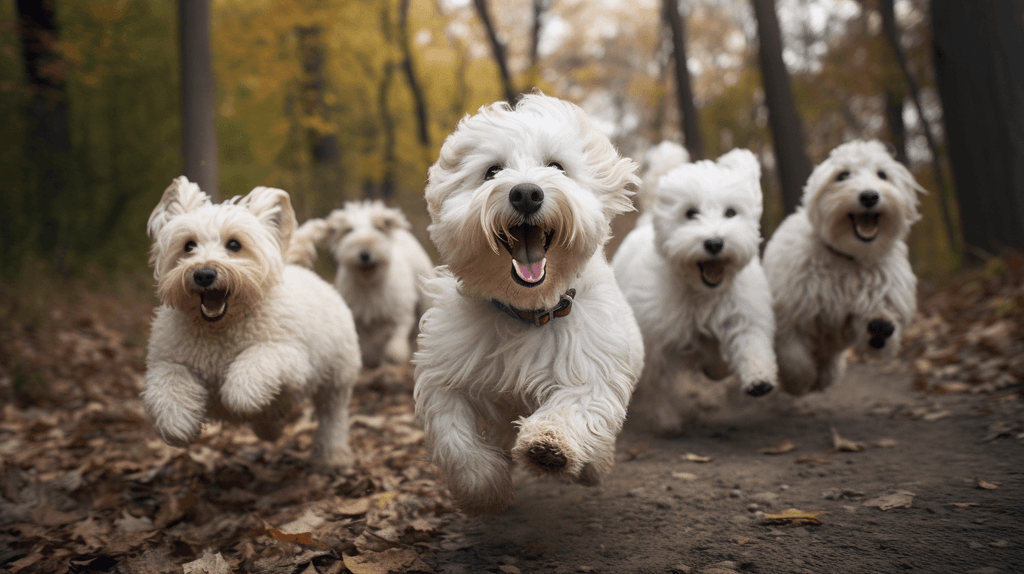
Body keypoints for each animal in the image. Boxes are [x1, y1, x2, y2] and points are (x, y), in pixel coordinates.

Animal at [142, 175, 362, 466]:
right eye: (188, 245)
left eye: (234, 244)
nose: (204, 274)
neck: (219, 329)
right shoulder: (168, 360)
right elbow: (169, 382)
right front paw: (177, 423)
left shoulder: (289, 355)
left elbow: (252, 368)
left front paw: (242, 396)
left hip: (337, 375)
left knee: (332, 415)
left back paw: (330, 455)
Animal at [290, 201, 434, 366]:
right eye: (348, 230)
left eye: (378, 228)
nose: (365, 254)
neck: (369, 283)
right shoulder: (357, 317)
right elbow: (366, 345)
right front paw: (371, 359)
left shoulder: (401, 311)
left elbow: (398, 336)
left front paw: (395, 355)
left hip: (423, 293)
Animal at [411, 94, 643, 515]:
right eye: (491, 171)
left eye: (557, 166)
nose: (525, 193)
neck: (527, 310)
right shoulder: (445, 372)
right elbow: (453, 434)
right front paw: (482, 488)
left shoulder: (590, 366)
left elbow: (575, 405)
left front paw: (548, 447)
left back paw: (593, 465)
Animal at [614, 148, 774, 433]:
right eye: (690, 213)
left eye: (731, 212)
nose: (714, 243)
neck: (702, 293)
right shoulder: (659, 339)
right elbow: (662, 383)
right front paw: (667, 420)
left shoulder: (744, 313)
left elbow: (750, 344)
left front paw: (758, 379)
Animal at [765, 141, 925, 396]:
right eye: (842, 176)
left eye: (882, 175)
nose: (869, 196)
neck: (848, 256)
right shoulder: (790, 314)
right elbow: (794, 356)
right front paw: (798, 382)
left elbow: (876, 320)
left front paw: (879, 328)